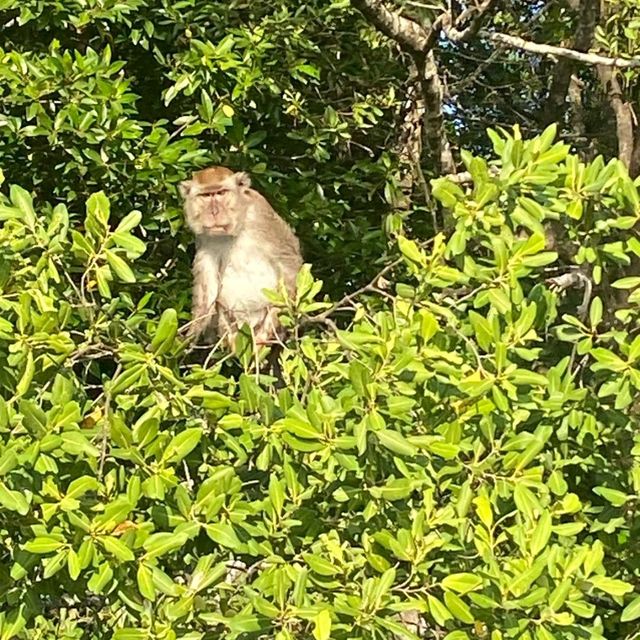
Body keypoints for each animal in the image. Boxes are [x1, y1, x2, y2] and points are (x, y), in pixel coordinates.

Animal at [178, 162, 302, 348]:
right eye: (205, 195)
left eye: (221, 193)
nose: (214, 212)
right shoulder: (204, 236)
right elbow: (208, 287)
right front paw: (190, 334)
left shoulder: (260, 213)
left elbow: (289, 262)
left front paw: (274, 322)